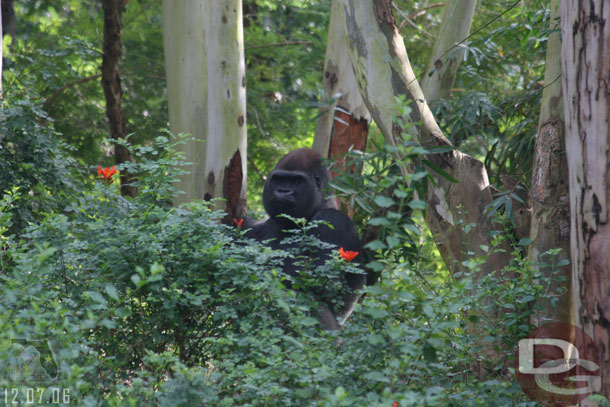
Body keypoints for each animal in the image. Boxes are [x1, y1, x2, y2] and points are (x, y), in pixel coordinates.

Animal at [243, 148, 366, 330]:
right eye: (279, 180)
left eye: (296, 181)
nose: (283, 191)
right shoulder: (257, 227)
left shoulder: (334, 221)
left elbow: (316, 284)